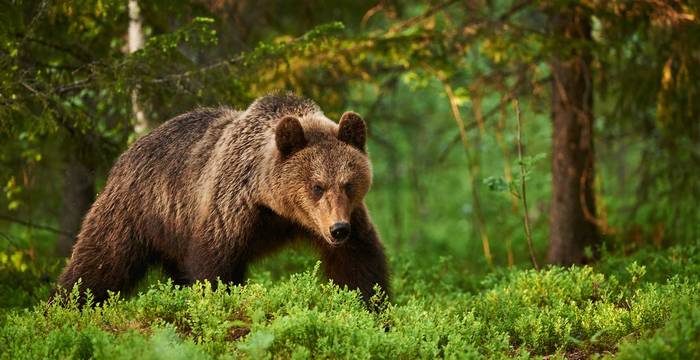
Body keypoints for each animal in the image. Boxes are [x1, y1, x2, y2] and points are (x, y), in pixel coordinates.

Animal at [56, 92, 388, 306]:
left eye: (348, 184)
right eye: (317, 186)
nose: (338, 229)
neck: (277, 208)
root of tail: (127, 152)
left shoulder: (346, 217)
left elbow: (359, 263)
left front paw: (372, 308)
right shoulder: (230, 208)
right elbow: (214, 267)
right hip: (137, 210)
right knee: (99, 263)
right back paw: (64, 307)